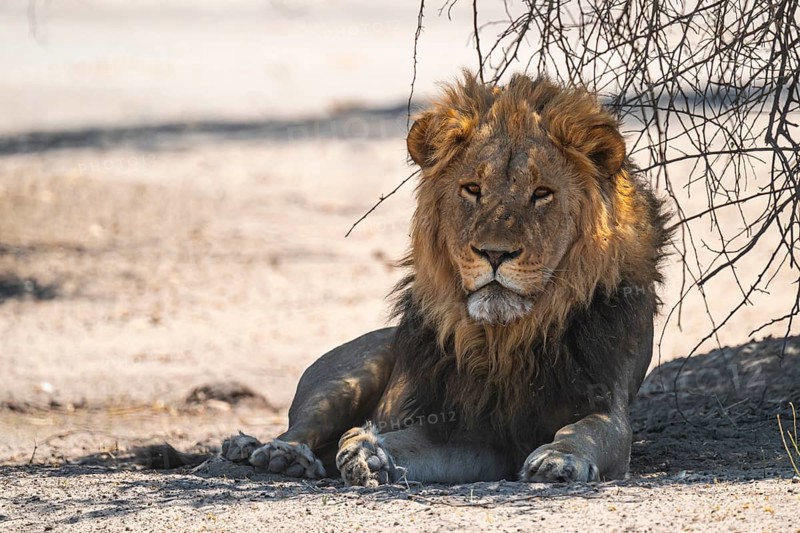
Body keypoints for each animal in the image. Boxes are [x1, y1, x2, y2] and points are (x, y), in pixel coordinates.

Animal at [236, 72, 669, 485]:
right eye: (473, 189)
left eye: (542, 193)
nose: (495, 253)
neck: (508, 338)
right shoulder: (463, 426)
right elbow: (405, 441)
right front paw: (369, 452)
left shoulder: (606, 402)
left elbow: (586, 431)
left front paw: (560, 458)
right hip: (352, 371)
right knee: (303, 426)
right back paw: (278, 454)